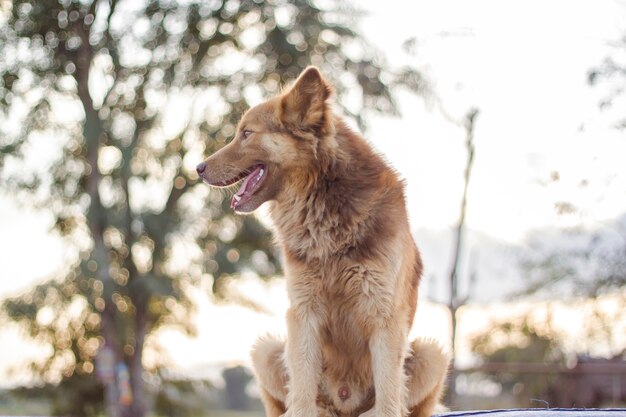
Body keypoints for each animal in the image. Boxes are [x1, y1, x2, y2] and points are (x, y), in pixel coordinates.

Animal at [197, 67, 446, 416]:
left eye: (246, 133)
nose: (198, 168)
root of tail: (344, 405)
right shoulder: (303, 312)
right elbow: (301, 383)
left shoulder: (383, 315)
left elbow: (388, 390)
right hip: (267, 348)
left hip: (432, 353)